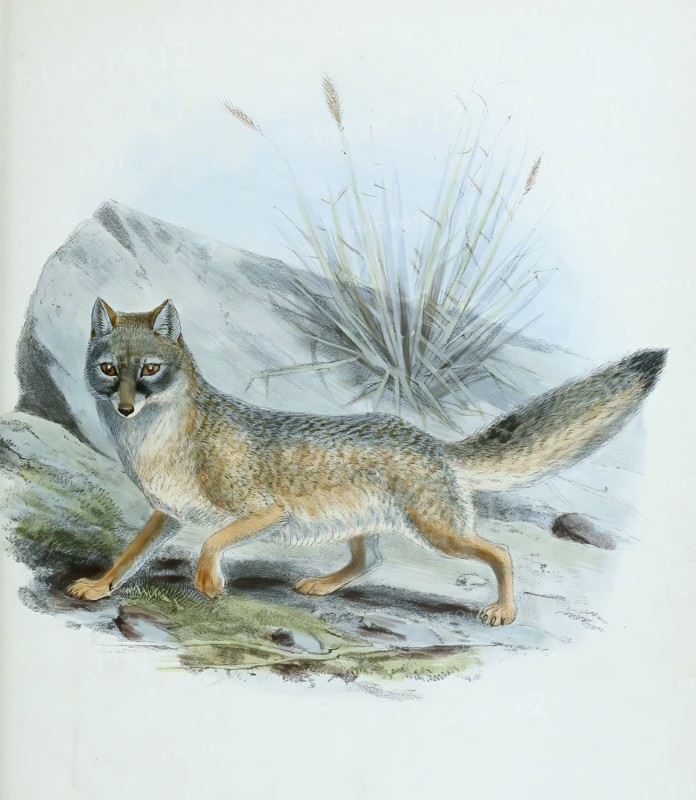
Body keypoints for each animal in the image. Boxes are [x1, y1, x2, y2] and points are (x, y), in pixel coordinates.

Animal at [67, 298, 665, 626]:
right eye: (108, 369)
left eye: (148, 369)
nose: (124, 407)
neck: (158, 444)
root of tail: (430, 440)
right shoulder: (167, 514)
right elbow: (129, 555)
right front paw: (99, 586)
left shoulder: (265, 512)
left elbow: (213, 541)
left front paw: (210, 581)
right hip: (365, 527)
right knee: (370, 561)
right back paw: (322, 585)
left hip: (440, 533)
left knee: (500, 552)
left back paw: (504, 611)